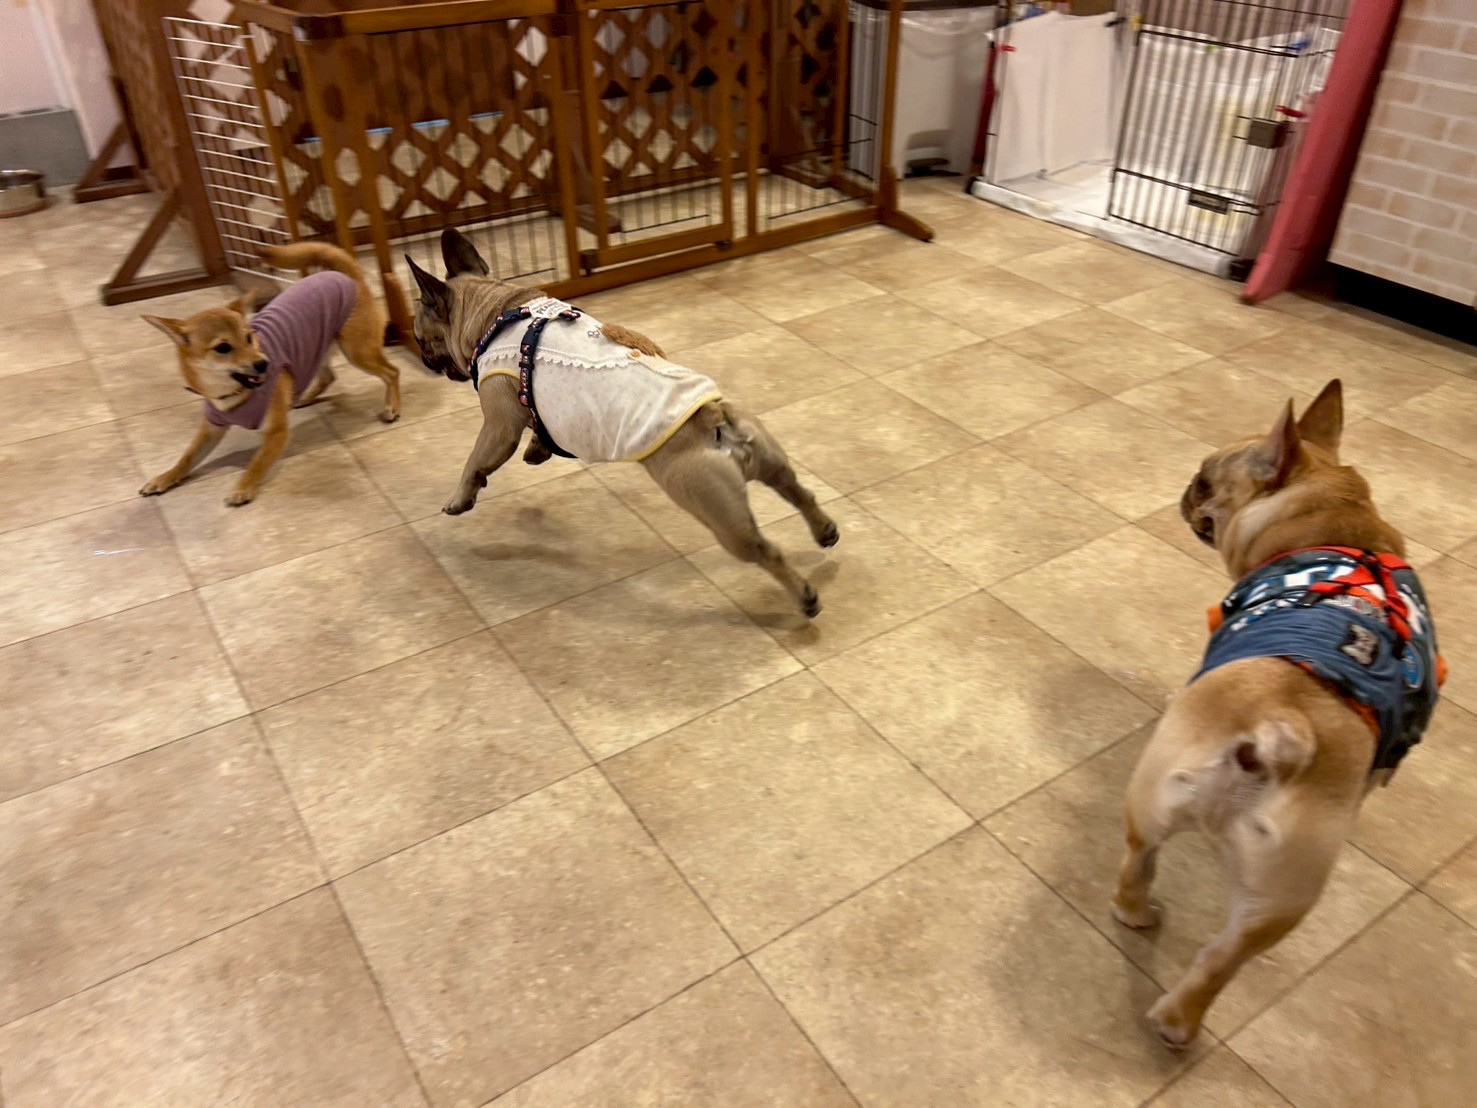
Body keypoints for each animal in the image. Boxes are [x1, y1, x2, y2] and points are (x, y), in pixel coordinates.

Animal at [139, 243, 400, 507]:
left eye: (248, 336)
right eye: (223, 348)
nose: (264, 363)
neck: (231, 395)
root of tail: (347, 276)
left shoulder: (276, 433)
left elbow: (257, 462)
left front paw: (243, 487)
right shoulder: (211, 429)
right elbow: (187, 457)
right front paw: (164, 478)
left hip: (357, 352)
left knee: (392, 372)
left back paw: (392, 407)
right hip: (317, 349)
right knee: (328, 376)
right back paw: (301, 397)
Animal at [406, 228, 838, 616]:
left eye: (421, 338)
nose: (425, 360)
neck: (494, 312)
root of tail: (713, 422)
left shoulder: (497, 426)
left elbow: (475, 461)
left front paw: (460, 498)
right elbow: (537, 426)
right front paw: (538, 449)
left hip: (716, 510)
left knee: (765, 549)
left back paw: (805, 597)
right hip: (768, 458)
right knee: (799, 492)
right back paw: (824, 530)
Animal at [1111, 379, 1444, 1047]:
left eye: (1205, 481)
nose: (1185, 489)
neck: (1333, 526)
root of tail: (1278, 734)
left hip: (1159, 803)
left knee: (1143, 867)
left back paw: (1142, 940)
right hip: (1283, 890)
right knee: (1220, 954)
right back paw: (1177, 1018)